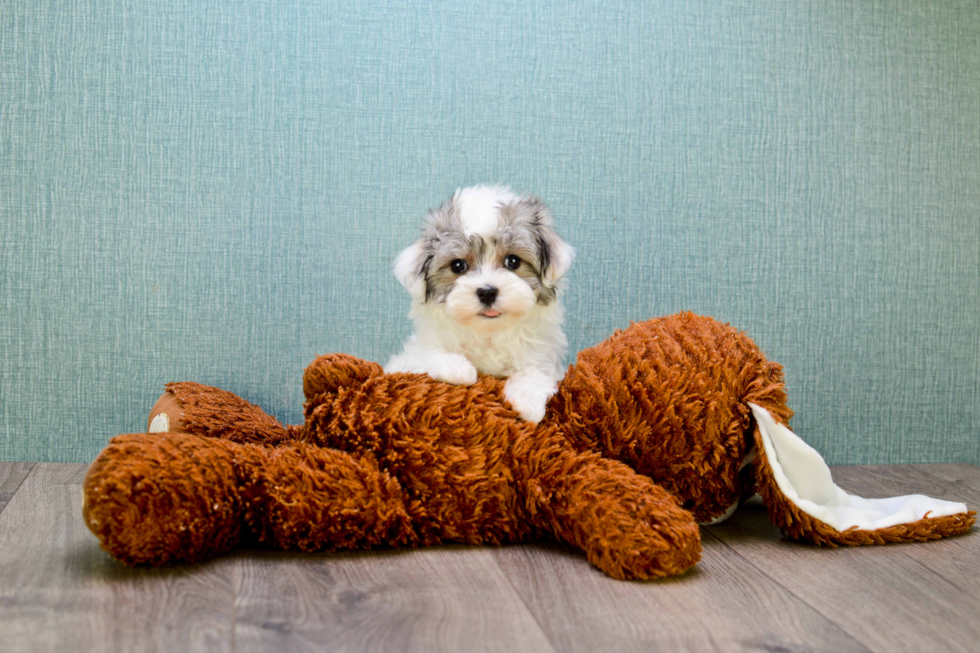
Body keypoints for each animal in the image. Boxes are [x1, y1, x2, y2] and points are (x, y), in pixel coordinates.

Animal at [384, 183, 576, 422]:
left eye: (513, 261)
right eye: (458, 265)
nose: (487, 292)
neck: (487, 334)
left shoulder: (544, 354)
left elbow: (537, 368)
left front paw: (527, 399)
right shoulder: (404, 361)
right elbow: (425, 355)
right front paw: (458, 368)